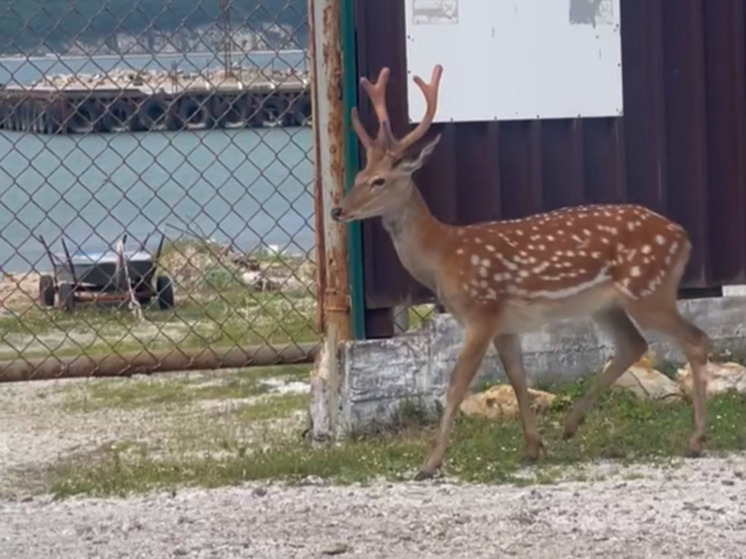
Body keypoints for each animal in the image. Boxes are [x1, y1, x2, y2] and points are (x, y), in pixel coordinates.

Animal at [330, 62, 708, 482]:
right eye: (357, 176)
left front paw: (430, 463)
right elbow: (517, 378)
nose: (338, 210)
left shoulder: (481, 312)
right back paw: (570, 425)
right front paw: (532, 447)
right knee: (634, 345)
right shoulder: (505, 324)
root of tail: (684, 237)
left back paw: (695, 440)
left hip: (649, 289)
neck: (443, 254)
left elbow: (456, 384)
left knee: (695, 340)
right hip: (607, 303)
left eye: (378, 180)